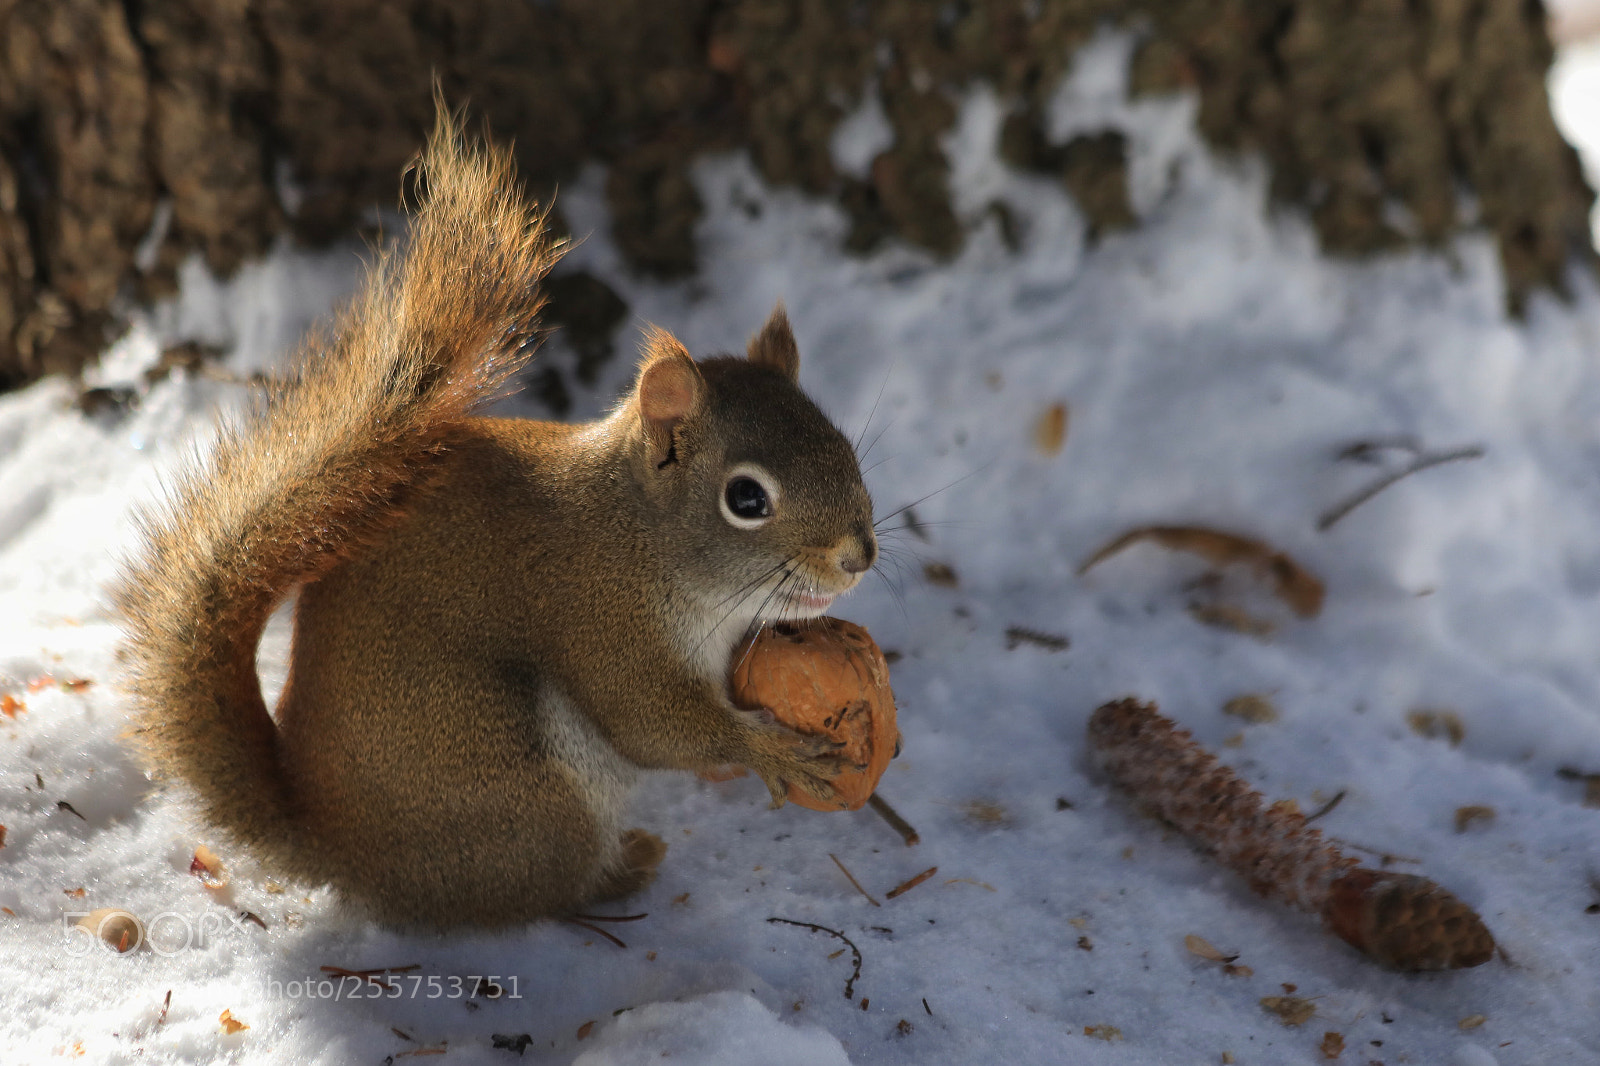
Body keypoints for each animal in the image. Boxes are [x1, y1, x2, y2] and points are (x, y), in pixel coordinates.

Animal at [113, 111, 878, 928]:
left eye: (840, 443)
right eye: (747, 500)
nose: (858, 556)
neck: (643, 536)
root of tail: (339, 851)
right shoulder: (602, 621)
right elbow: (654, 725)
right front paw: (774, 754)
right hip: (521, 778)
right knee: (543, 892)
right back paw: (620, 872)